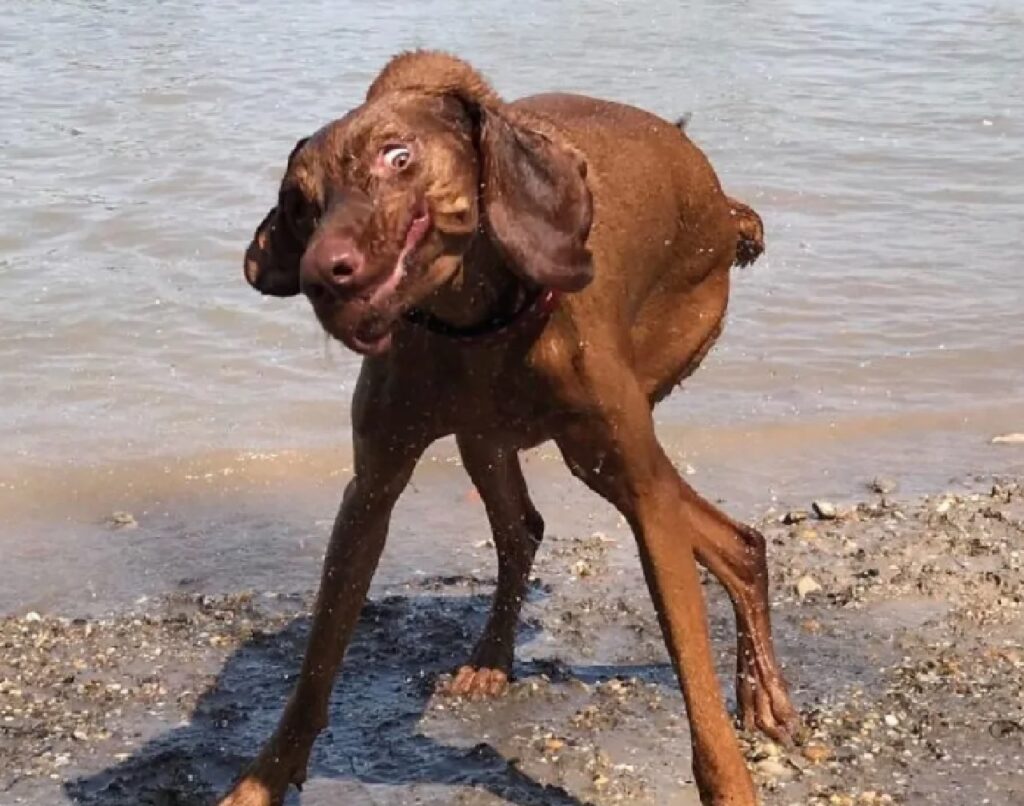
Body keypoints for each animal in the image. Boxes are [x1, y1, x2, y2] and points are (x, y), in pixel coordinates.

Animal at [224, 51, 794, 806]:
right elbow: (317, 667)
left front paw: (729, 782)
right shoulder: (371, 492)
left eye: (398, 156)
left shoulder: (640, 493)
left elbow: (694, 684)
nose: (322, 274)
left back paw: (762, 691)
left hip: (617, 429)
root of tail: (720, 199)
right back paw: (496, 656)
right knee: (527, 527)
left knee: (726, 537)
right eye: (299, 203)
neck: (476, 321)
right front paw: (261, 782)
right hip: (496, 439)